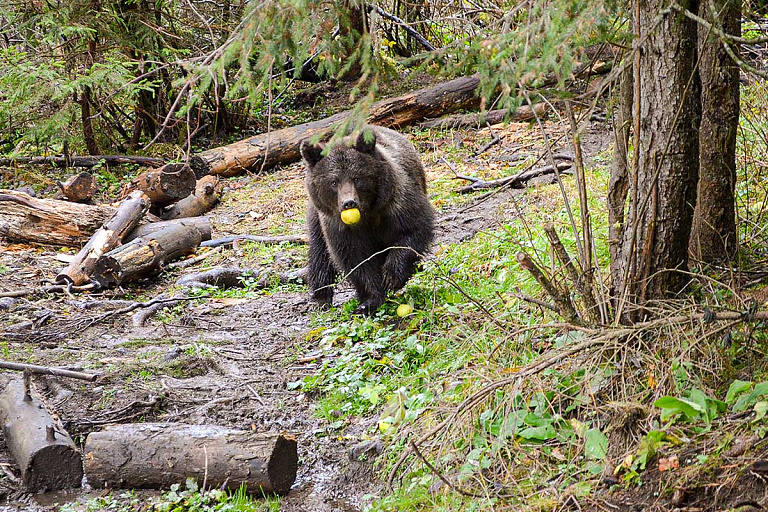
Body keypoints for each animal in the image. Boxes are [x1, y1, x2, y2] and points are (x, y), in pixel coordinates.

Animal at [300, 126, 436, 314]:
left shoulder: (395, 202)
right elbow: (356, 258)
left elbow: (412, 229)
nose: (349, 203)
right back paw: (319, 299)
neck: (366, 215)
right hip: (316, 217)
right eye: (333, 181)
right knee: (319, 252)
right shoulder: (338, 226)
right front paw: (369, 301)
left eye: (357, 178)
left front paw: (391, 276)